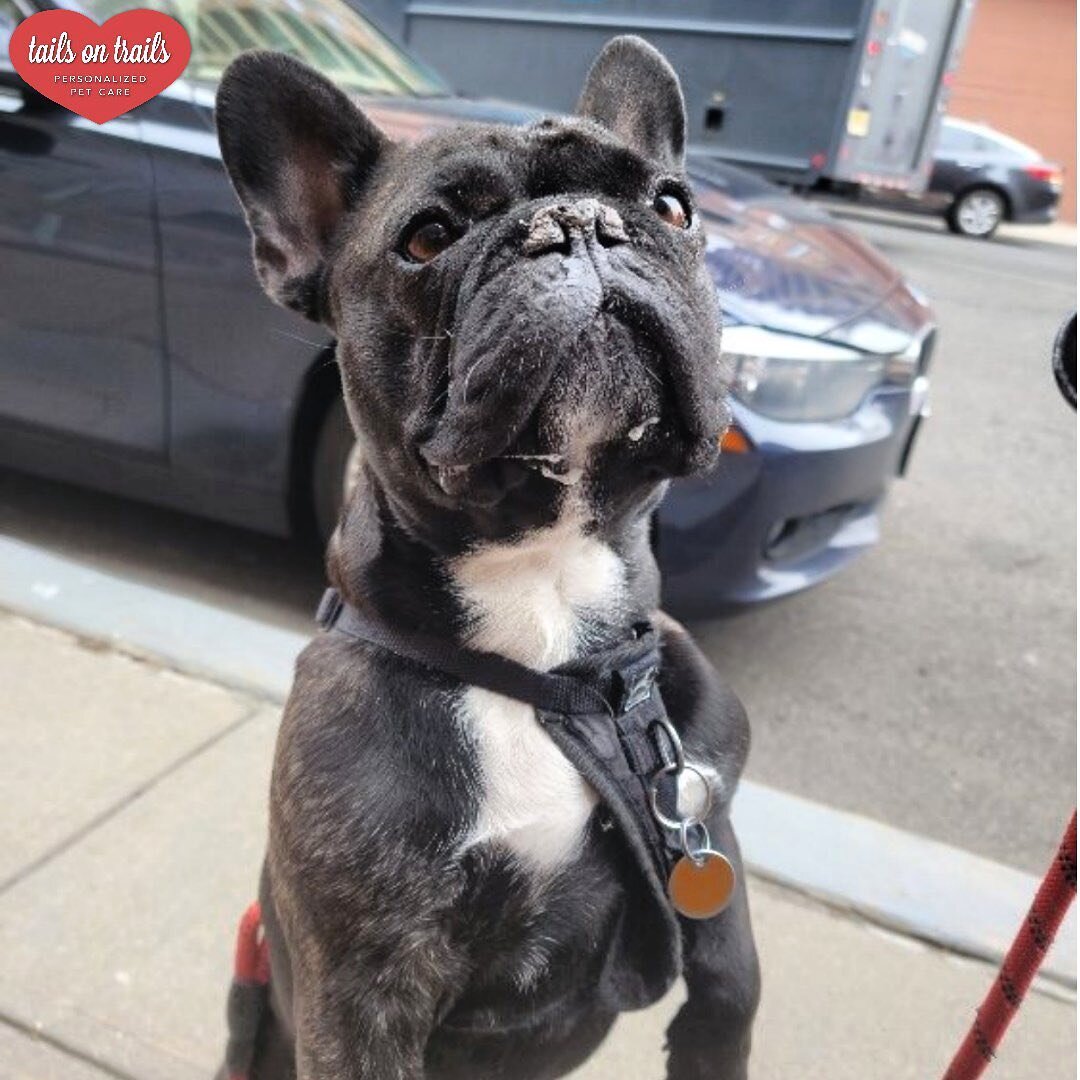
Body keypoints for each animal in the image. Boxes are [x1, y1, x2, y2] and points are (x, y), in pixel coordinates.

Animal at [214, 33, 760, 1080]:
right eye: (428, 237)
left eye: (673, 204)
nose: (582, 223)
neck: (544, 640)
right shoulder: (366, 995)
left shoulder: (719, 928)